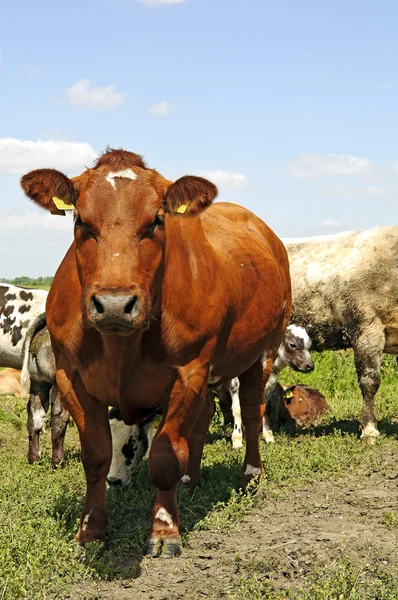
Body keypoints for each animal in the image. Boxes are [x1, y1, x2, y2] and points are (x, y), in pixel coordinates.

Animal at [20, 149, 290, 556]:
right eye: (81, 220)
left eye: (156, 221)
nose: (114, 305)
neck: (122, 347)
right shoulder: (72, 378)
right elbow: (96, 456)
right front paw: (90, 530)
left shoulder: (188, 373)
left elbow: (164, 455)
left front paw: (164, 530)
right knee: (202, 419)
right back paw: (191, 479)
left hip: (262, 353)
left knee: (252, 413)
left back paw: (250, 477)